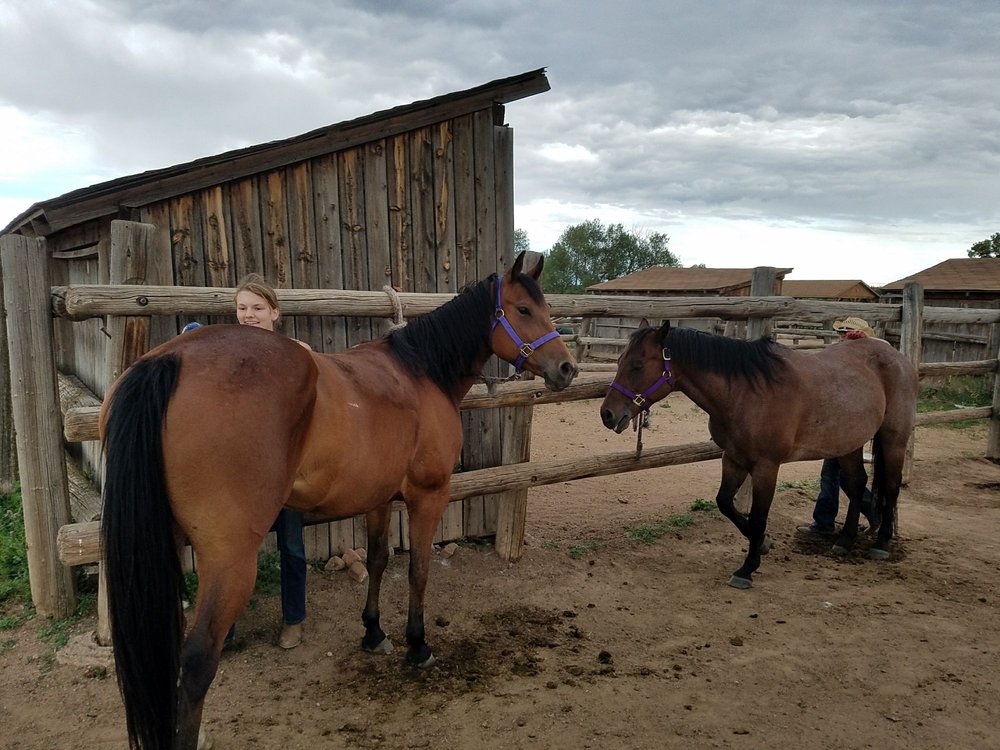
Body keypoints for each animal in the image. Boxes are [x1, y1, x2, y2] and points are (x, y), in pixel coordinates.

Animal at [100, 251, 577, 750]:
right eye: (523, 309)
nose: (567, 368)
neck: (421, 374)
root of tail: (170, 359)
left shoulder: (379, 499)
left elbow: (380, 559)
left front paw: (373, 632)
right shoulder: (428, 496)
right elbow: (419, 570)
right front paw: (417, 644)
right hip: (230, 560)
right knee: (196, 662)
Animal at [600, 320, 918, 589]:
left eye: (638, 365)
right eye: (620, 361)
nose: (607, 414)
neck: (745, 393)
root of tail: (897, 357)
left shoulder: (767, 467)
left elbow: (758, 516)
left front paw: (747, 568)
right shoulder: (734, 459)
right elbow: (725, 503)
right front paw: (762, 543)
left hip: (893, 438)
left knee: (890, 486)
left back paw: (881, 543)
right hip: (849, 443)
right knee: (855, 484)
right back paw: (845, 540)